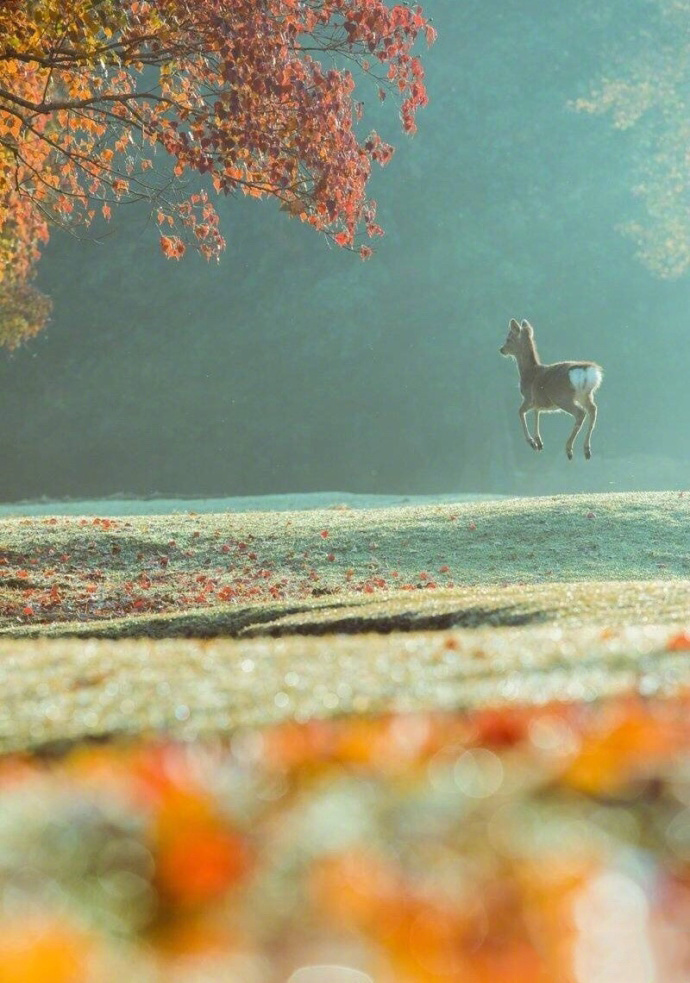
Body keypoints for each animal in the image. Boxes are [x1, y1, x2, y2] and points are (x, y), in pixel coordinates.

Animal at [498, 320, 600, 464]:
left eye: (509, 338)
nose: (502, 349)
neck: (528, 372)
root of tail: (587, 371)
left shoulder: (528, 398)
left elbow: (520, 412)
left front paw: (532, 442)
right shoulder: (538, 402)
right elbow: (536, 413)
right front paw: (539, 442)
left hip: (563, 397)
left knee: (580, 413)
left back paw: (569, 449)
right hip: (586, 395)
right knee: (593, 410)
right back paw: (587, 450)